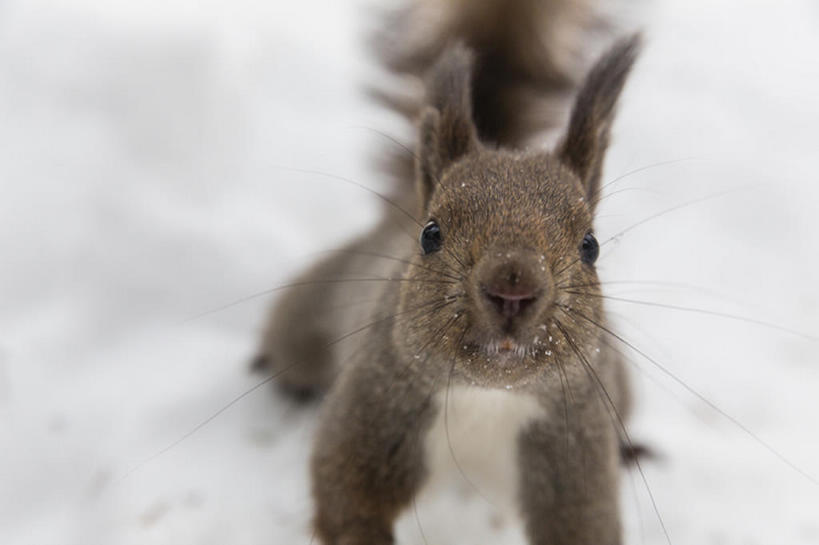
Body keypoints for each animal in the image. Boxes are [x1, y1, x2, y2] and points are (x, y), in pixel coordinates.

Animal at [255, 0, 640, 540]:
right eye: (431, 234)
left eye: (591, 246)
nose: (512, 288)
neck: (487, 395)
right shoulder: (374, 410)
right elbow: (347, 503)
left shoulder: (574, 451)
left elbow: (583, 527)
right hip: (308, 317)